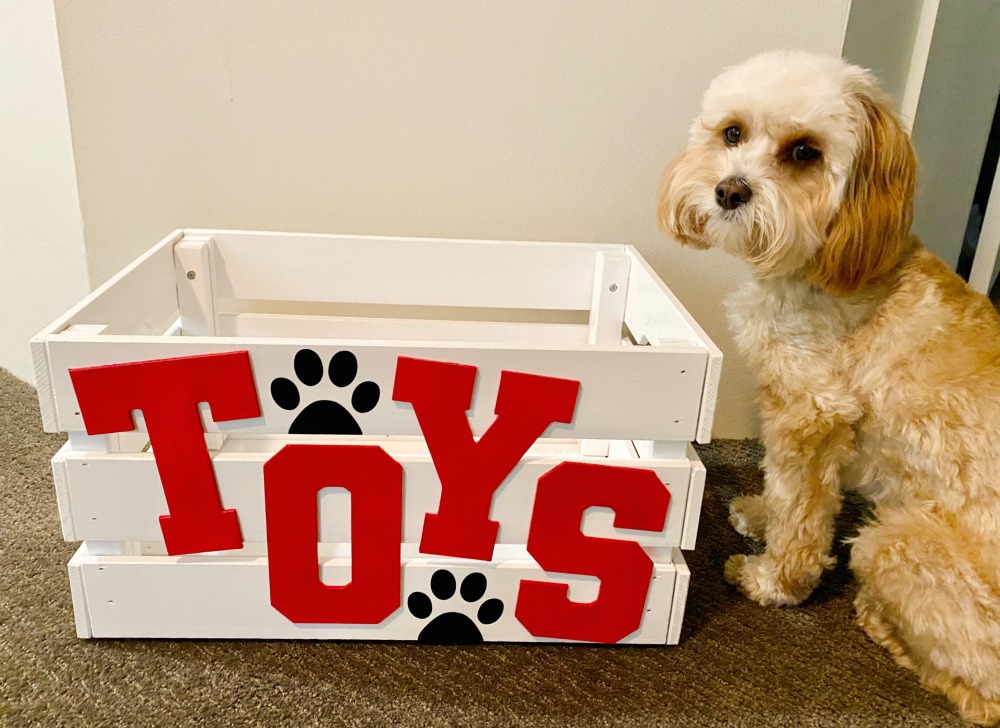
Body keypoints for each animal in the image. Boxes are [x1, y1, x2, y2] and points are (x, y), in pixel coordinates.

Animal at [656, 49, 1000, 724]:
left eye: (804, 152)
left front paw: (773, 581)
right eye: (732, 132)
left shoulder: (810, 413)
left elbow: (802, 515)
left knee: (979, 697)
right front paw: (759, 513)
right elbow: (785, 491)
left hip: (894, 545)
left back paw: (883, 623)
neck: (821, 269)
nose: (729, 190)